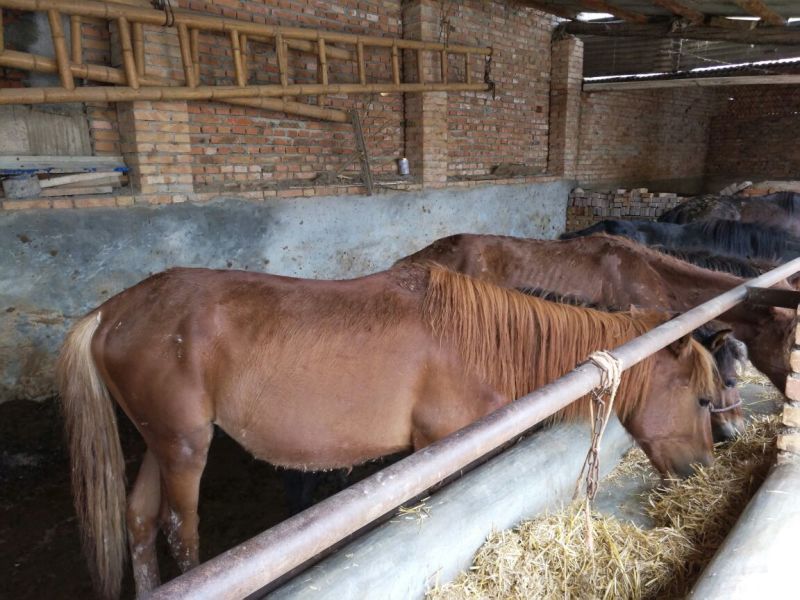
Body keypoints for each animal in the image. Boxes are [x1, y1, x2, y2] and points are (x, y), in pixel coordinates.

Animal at [57, 264, 720, 599]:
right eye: (702, 398)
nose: (701, 472)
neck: (477, 341)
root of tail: (110, 314)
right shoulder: (438, 451)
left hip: (160, 443)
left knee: (139, 522)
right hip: (185, 449)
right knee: (178, 531)